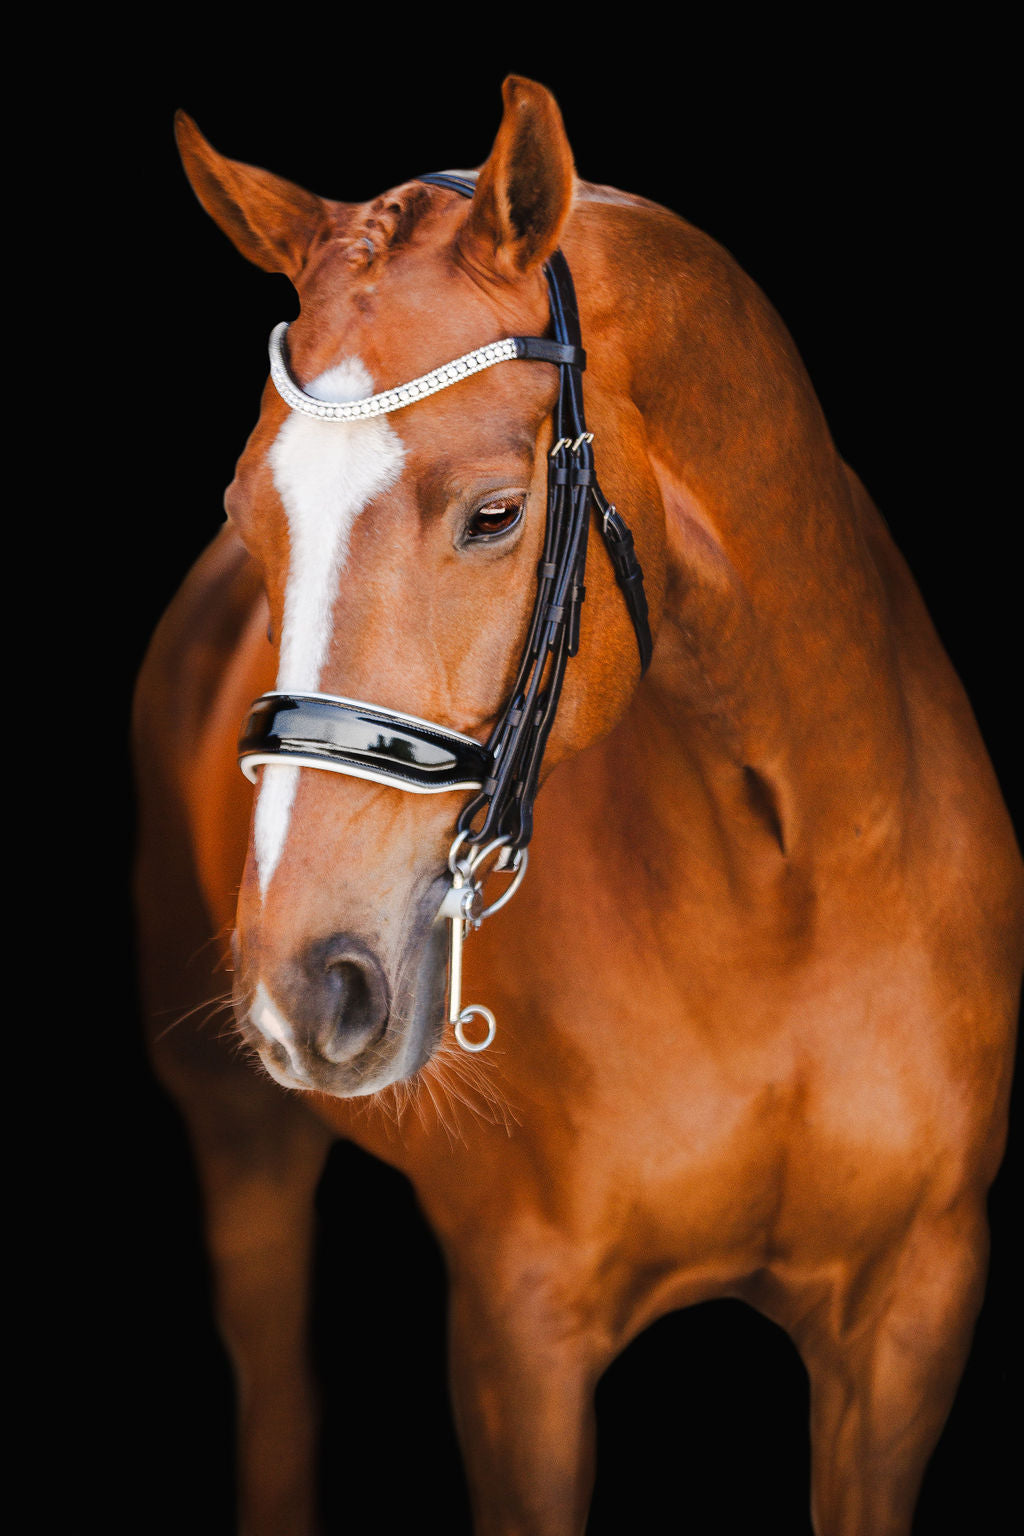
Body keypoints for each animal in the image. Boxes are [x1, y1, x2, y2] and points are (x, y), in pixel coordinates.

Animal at [132, 75, 1023, 1535]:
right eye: (249, 515)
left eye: (496, 515)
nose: (309, 987)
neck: (792, 880)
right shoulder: (523, 1332)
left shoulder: (911, 1310)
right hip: (239, 1135)